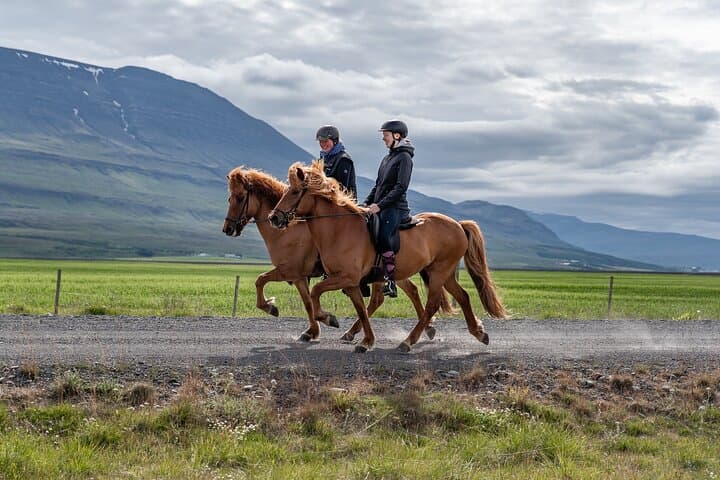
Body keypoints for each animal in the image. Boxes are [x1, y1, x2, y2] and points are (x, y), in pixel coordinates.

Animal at [222, 166, 440, 342]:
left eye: (240, 197)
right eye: (229, 198)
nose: (228, 229)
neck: (289, 231)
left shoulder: (289, 270)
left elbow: (260, 280)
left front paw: (271, 308)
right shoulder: (300, 277)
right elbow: (308, 302)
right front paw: (311, 331)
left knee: (384, 297)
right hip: (392, 272)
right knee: (408, 291)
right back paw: (426, 328)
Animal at [268, 160, 506, 353]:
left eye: (294, 192)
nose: (273, 218)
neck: (339, 229)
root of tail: (458, 224)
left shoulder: (345, 277)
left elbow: (316, 291)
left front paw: (329, 319)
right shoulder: (351, 282)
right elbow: (361, 309)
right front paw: (365, 341)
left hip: (439, 271)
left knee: (432, 304)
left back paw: (408, 342)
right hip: (441, 272)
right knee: (462, 296)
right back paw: (479, 333)